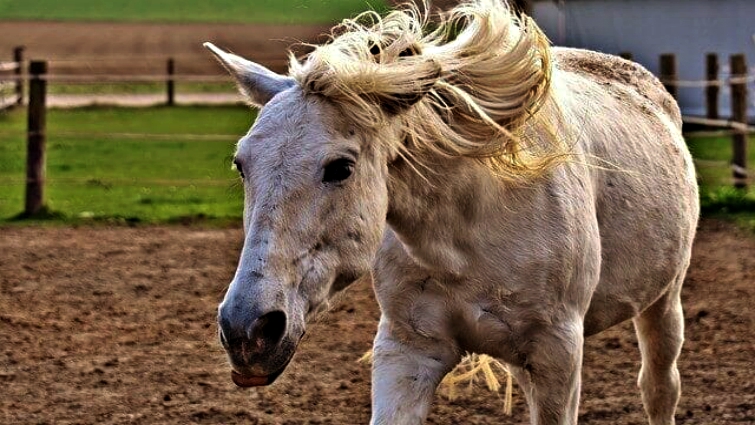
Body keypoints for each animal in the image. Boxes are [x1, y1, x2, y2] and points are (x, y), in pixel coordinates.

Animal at [205, 0, 699, 423]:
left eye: (340, 167)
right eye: (241, 164)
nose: (247, 329)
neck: (462, 237)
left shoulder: (557, 355)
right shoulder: (407, 351)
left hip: (663, 302)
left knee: (659, 388)